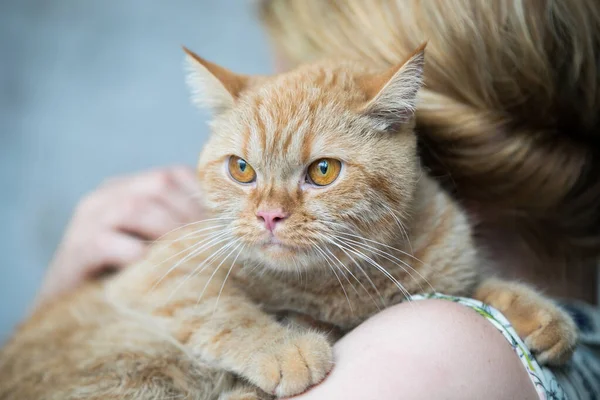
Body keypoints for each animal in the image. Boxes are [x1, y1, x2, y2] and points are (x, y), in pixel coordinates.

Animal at [0, 45, 580, 398]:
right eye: (241, 169)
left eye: (322, 171)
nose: (269, 214)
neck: (337, 288)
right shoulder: (157, 277)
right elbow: (223, 311)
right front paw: (285, 349)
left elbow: (472, 282)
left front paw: (534, 310)